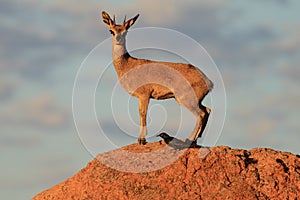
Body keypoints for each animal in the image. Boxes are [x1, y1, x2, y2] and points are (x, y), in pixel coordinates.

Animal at [101, 11, 213, 145]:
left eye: (125, 31)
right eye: (111, 31)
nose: (118, 38)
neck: (128, 65)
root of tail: (209, 82)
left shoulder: (144, 94)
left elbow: (143, 113)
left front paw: (142, 140)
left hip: (186, 99)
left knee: (200, 114)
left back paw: (189, 139)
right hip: (194, 100)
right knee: (207, 110)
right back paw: (195, 140)